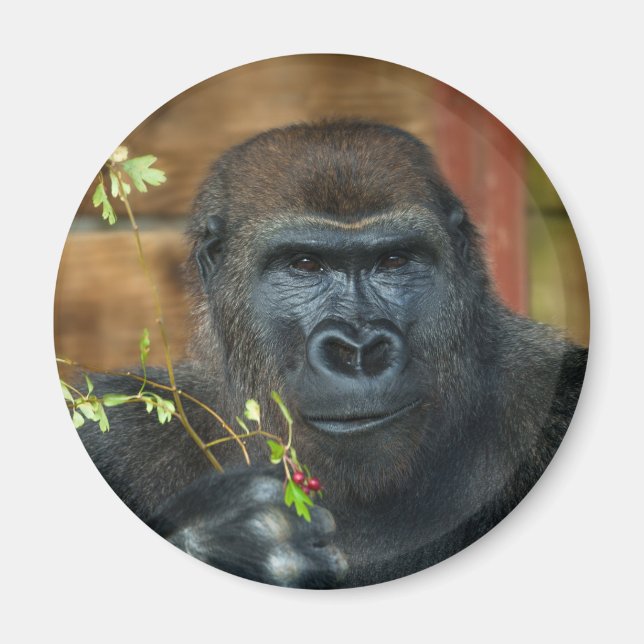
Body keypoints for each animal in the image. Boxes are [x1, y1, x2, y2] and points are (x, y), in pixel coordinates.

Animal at [77, 120, 587, 588]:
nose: (358, 350)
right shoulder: (117, 437)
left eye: (394, 261)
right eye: (305, 265)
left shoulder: (555, 391)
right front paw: (226, 537)